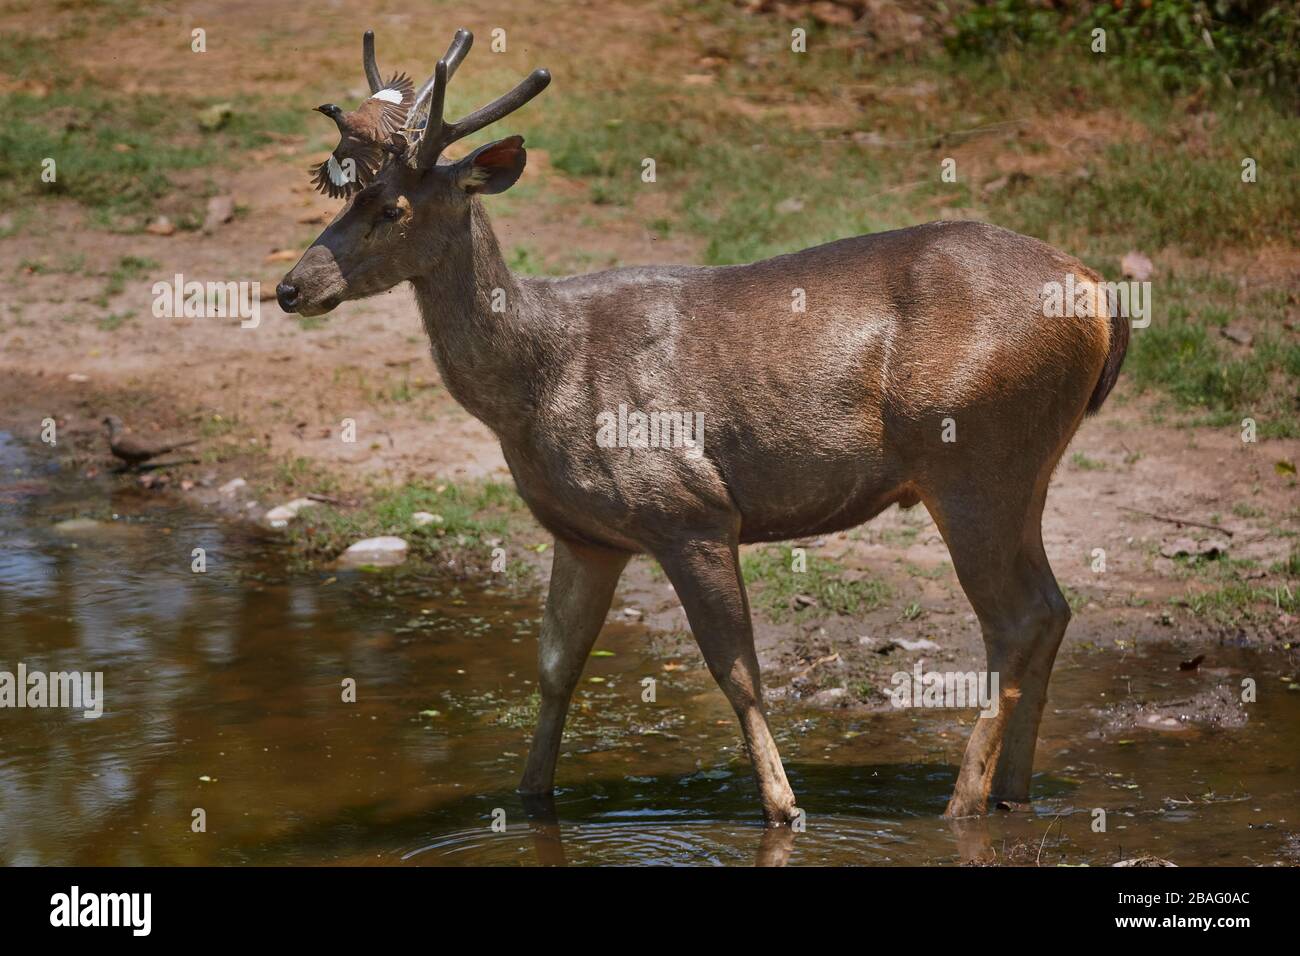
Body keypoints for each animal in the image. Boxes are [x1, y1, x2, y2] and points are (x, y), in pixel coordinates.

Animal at [282, 27, 1128, 822]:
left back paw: (960, 805)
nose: (292, 286)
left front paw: (784, 807)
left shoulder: (689, 509)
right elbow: (555, 668)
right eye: (345, 195)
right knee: (1052, 608)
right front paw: (530, 799)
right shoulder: (584, 534)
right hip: (1023, 465)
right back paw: (1010, 793)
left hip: (973, 455)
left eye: (392, 208)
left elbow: (738, 671)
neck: (537, 381)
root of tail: (1097, 294)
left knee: (1017, 618)